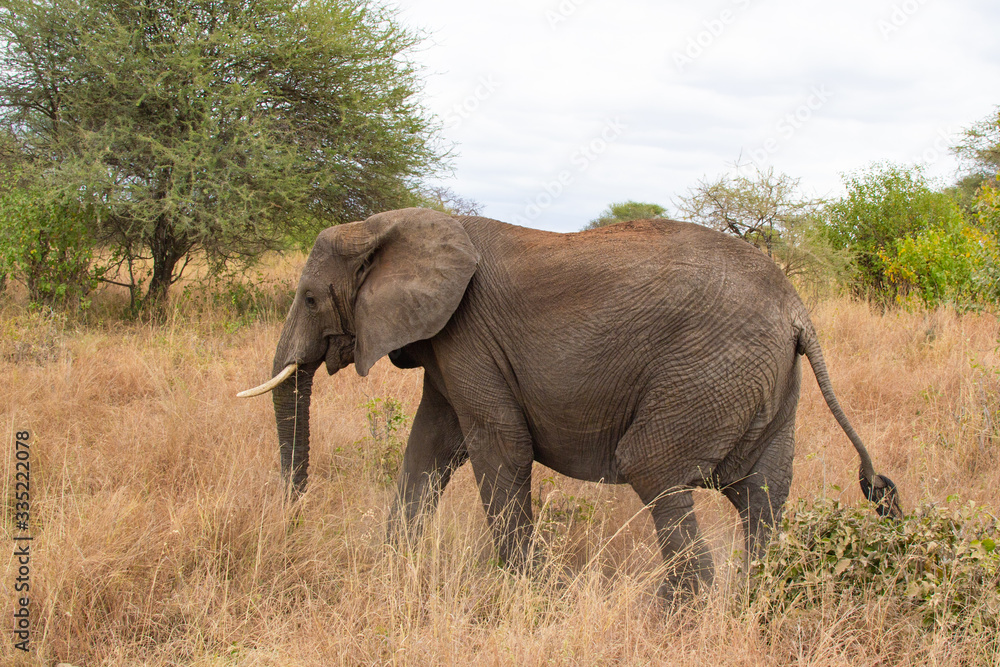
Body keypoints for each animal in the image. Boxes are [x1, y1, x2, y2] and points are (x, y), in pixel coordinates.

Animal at [238, 207, 904, 596]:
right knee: (763, 492)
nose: (293, 520)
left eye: (310, 298)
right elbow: (429, 448)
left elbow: (497, 450)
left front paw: (528, 593)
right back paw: (748, 602)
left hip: (708, 372)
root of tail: (797, 311)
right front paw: (392, 568)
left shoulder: (469, 336)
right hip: (765, 383)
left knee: (654, 468)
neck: (388, 225)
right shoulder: (450, 345)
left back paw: (673, 614)